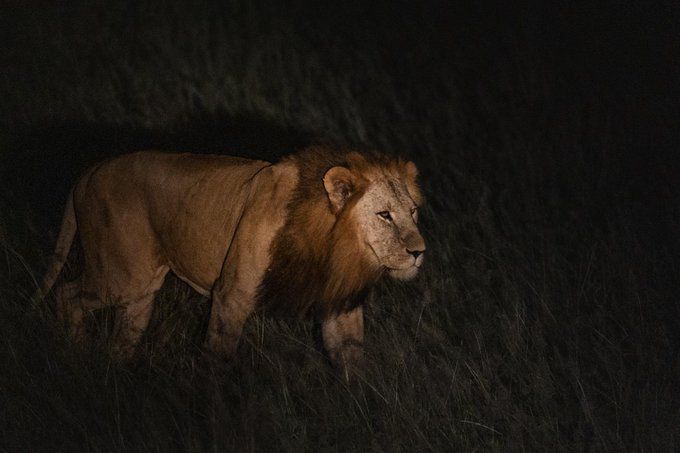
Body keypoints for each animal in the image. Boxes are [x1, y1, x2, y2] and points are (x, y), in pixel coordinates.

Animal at [36, 146, 426, 372]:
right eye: (384, 215)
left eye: (413, 212)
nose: (419, 252)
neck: (330, 247)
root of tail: (90, 170)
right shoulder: (232, 296)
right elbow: (218, 357)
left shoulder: (339, 305)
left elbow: (351, 362)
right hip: (123, 275)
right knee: (66, 294)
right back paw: (74, 352)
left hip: (140, 292)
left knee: (121, 335)